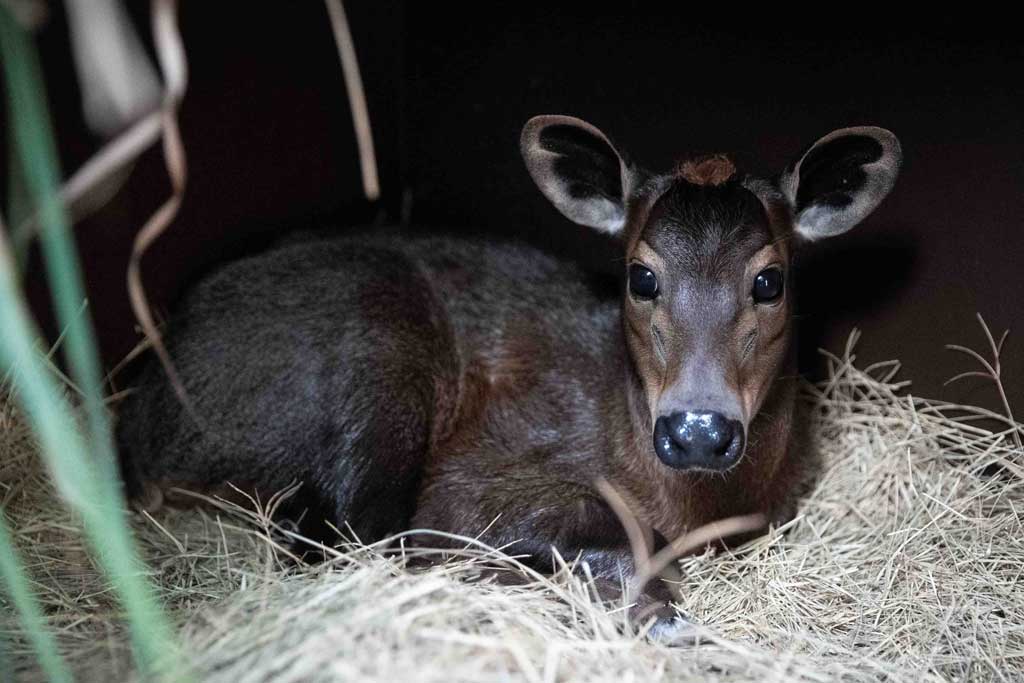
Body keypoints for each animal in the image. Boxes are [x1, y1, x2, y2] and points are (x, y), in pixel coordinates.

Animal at [119, 114, 901, 634]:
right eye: (641, 275)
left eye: (769, 280)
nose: (698, 430)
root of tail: (144, 415)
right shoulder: (473, 483)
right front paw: (642, 600)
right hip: (375, 349)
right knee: (355, 539)